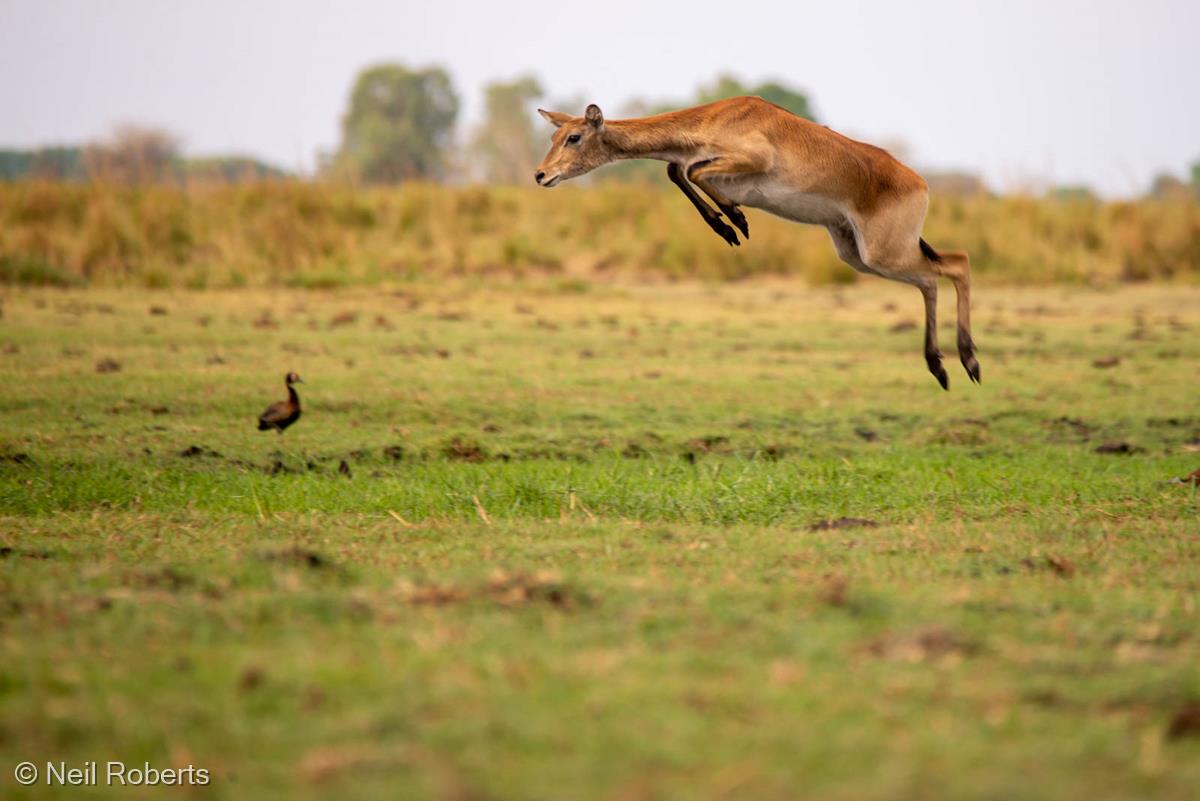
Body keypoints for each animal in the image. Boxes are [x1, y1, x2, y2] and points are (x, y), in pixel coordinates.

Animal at [532, 97, 974, 388]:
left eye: (573, 137)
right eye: (554, 135)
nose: (540, 175)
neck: (714, 118)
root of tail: (920, 183)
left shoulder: (747, 159)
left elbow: (690, 170)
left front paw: (736, 221)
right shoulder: (700, 163)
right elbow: (678, 170)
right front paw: (727, 225)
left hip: (884, 252)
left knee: (955, 264)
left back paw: (967, 362)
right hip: (859, 254)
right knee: (933, 277)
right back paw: (943, 367)